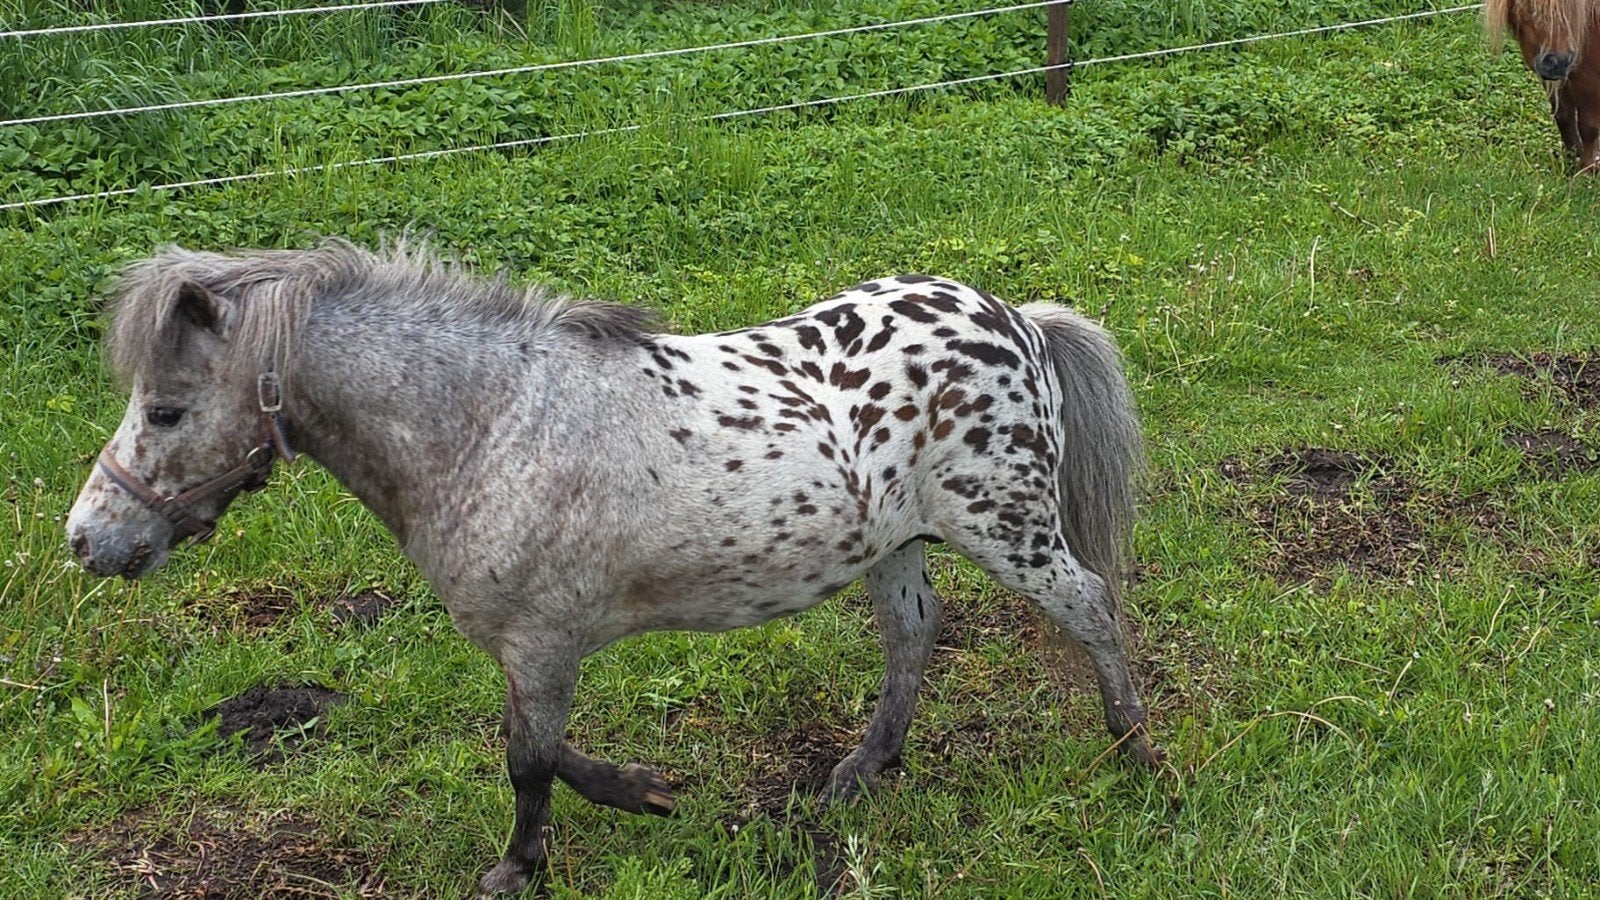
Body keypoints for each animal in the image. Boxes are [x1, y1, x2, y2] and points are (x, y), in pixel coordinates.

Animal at [65, 241, 1158, 896]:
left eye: (165, 408)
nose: (85, 541)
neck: (489, 426)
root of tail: (1017, 321)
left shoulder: (542, 643)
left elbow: (530, 761)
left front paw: (527, 863)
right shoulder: (533, 650)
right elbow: (547, 755)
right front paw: (645, 794)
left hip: (1006, 527)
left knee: (1091, 606)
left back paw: (1135, 751)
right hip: (891, 545)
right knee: (915, 635)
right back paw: (861, 769)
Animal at [1488, 0, 1600, 171]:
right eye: (1528, 6)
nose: (1559, 62)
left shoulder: (1588, 81)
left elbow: (1589, 128)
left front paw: (1586, 171)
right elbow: (1564, 117)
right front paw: (1572, 160)